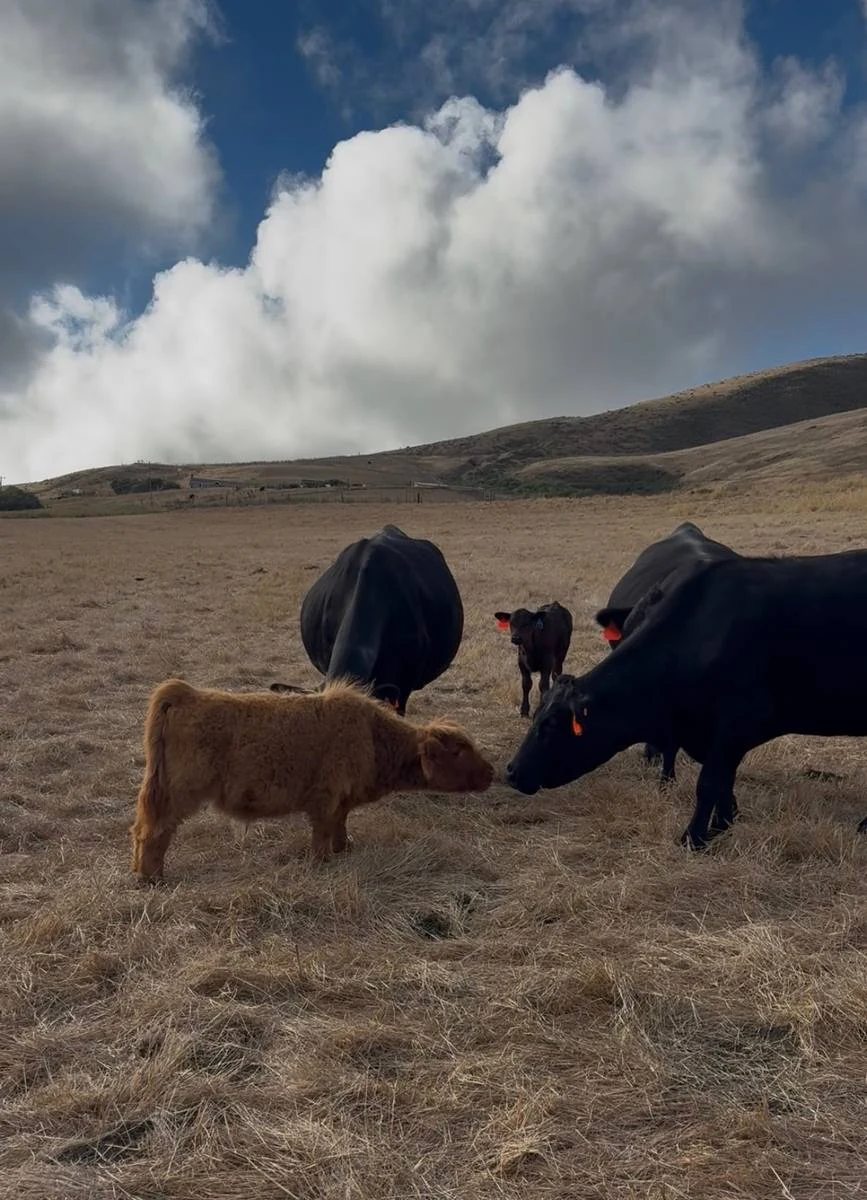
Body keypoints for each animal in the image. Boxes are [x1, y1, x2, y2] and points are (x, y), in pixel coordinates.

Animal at [130, 677, 495, 885]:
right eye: (458, 751)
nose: (492, 772)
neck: (372, 737)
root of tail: (185, 693)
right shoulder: (325, 797)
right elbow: (321, 833)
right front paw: (323, 862)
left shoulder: (341, 801)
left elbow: (339, 826)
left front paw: (344, 849)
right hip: (177, 793)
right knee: (155, 831)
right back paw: (152, 877)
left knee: (141, 828)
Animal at [505, 550, 867, 852]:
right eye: (535, 717)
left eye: (551, 726)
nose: (511, 771)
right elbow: (722, 783)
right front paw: (721, 824)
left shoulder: (734, 726)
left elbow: (709, 783)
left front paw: (693, 838)